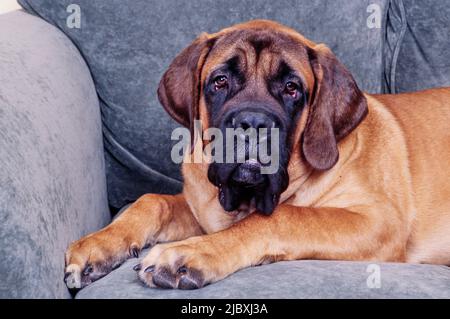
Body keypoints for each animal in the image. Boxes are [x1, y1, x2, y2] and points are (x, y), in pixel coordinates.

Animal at [64, 19, 450, 290]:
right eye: (220, 81)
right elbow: (151, 201)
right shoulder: (202, 208)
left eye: (292, 88)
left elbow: (283, 217)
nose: (252, 123)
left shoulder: (378, 220)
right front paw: (99, 244)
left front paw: (191, 253)